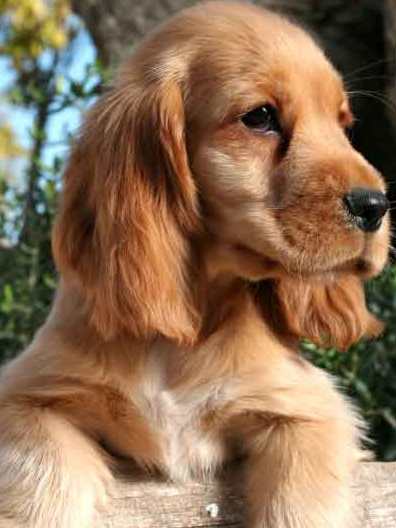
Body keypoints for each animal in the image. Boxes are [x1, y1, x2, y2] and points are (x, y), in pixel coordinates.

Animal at [0, 1, 390, 528]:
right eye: (260, 117)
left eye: (343, 124)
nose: (376, 206)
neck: (182, 335)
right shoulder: (29, 394)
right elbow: (42, 477)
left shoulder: (306, 407)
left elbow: (300, 501)